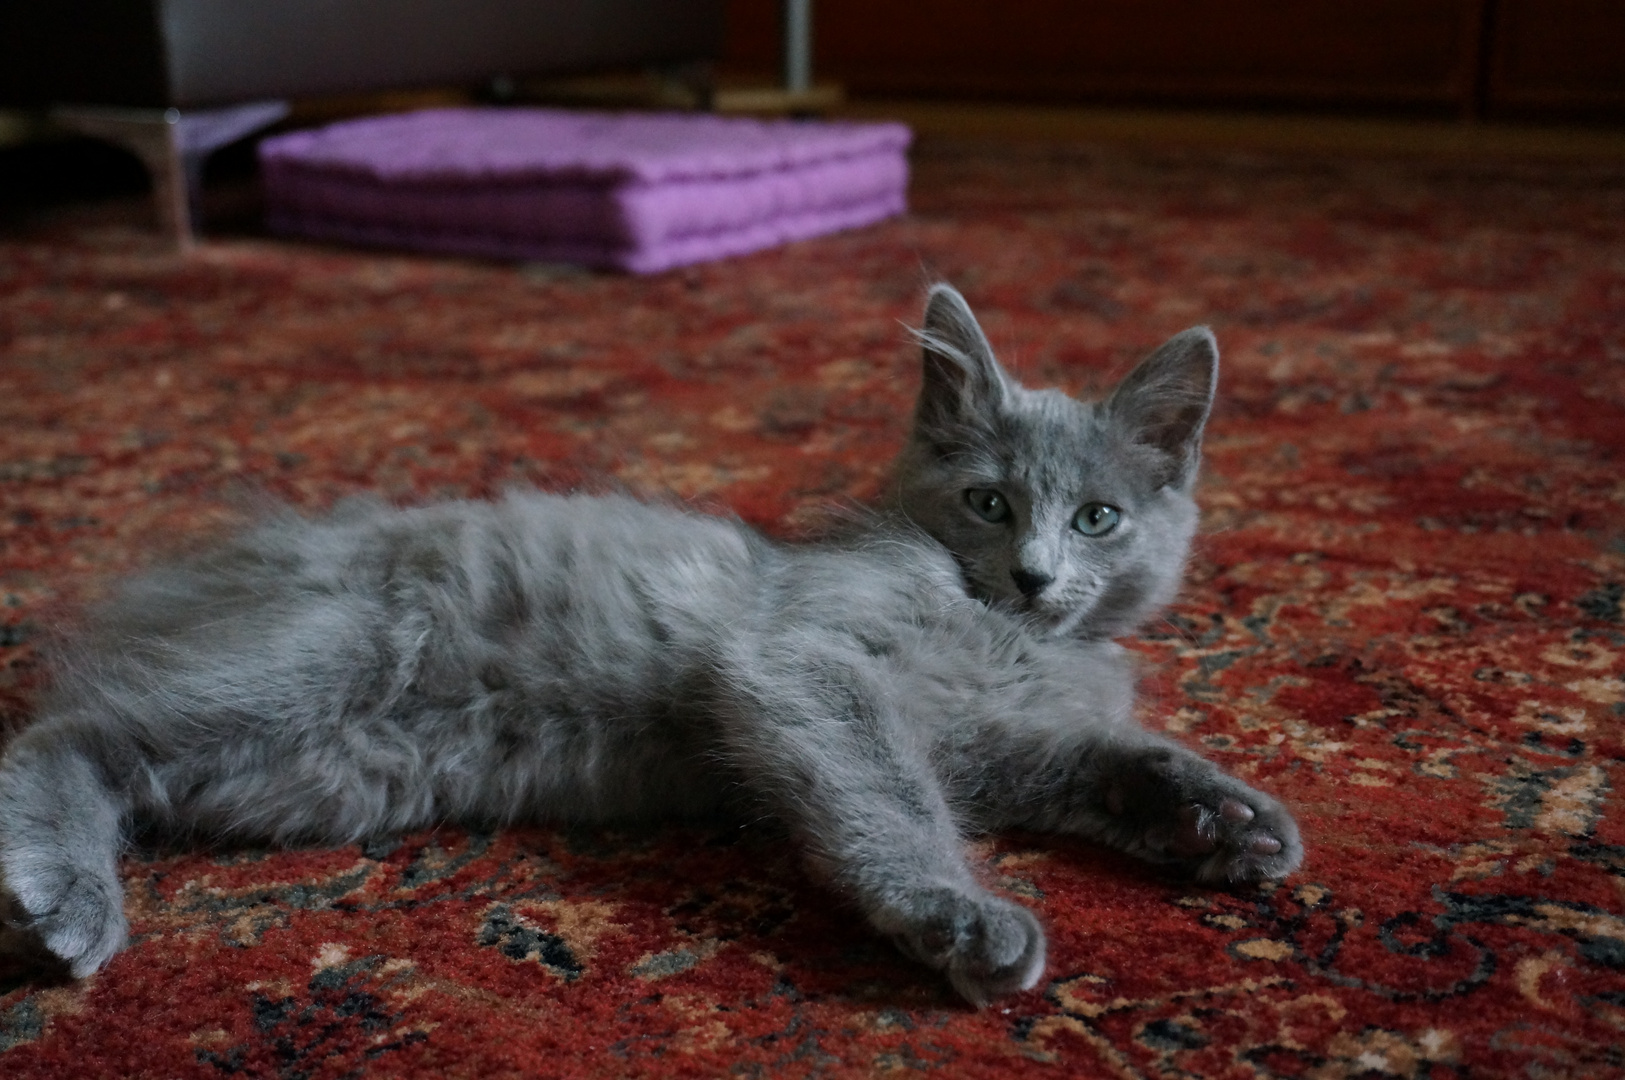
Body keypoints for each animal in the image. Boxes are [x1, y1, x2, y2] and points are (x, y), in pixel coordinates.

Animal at [0, 284, 1300, 1000]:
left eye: (1096, 519)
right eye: (988, 502)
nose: (1033, 574)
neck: (1001, 636)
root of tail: (228, 565)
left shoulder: (996, 741)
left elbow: (1095, 762)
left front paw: (1224, 821)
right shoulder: (809, 661)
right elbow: (890, 803)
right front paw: (956, 915)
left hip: (315, 776)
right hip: (329, 660)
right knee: (59, 731)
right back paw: (67, 900)